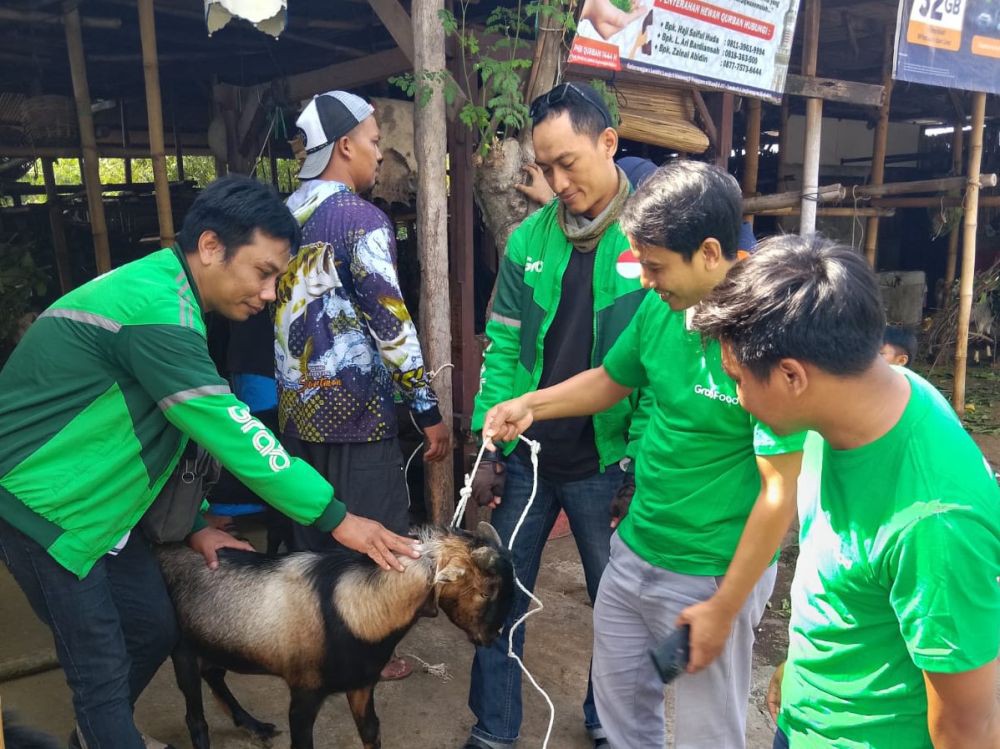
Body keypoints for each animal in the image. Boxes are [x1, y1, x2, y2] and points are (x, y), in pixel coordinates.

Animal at [160, 524, 516, 748]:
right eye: (487, 591)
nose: (493, 636)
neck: (352, 609)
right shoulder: (304, 694)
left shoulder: (361, 684)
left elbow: (371, 731)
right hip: (182, 648)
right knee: (195, 716)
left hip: (215, 640)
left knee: (214, 673)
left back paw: (255, 726)